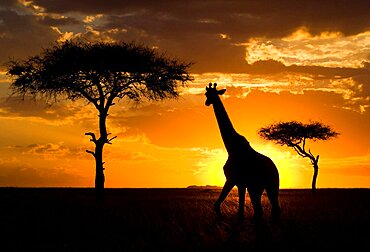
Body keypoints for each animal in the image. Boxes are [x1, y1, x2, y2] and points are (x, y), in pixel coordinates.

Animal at [205, 82, 280, 222]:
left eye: (213, 94)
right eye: (206, 94)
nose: (207, 102)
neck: (231, 148)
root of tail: (275, 167)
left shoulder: (234, 180)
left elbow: (236, 211)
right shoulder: (238, 182)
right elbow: (224, 206)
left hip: (271, 184)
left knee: (273, 209)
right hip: (257, 186)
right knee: (260, 210)